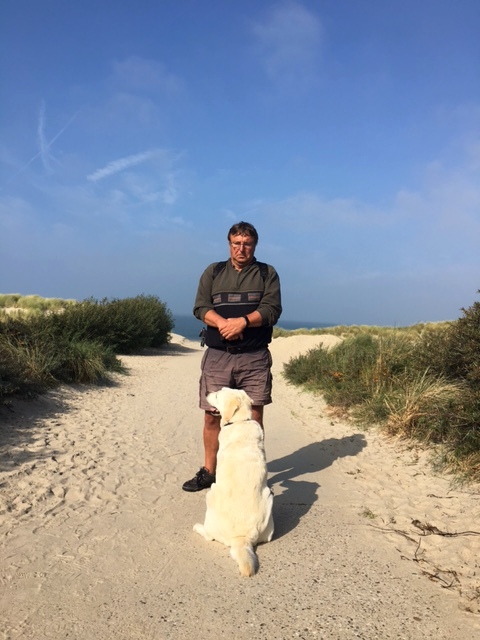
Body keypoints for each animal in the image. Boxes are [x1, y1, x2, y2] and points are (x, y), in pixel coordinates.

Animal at [193, 387, 274, 577]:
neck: (240, 421)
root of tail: (241, 538)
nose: (207, 392)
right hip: (269, 498)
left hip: (212, 493)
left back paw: (198, 527)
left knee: (209, 535)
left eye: (217, 394)